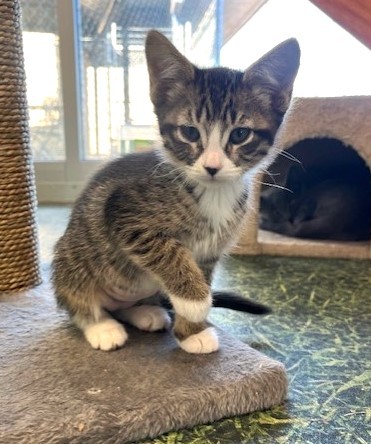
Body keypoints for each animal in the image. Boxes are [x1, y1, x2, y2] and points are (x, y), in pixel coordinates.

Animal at [52, 30, 300, 354]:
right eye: (190, 132)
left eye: (240, 135)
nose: (211, 166)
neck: (213, 193)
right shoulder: (122, 210)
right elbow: (168, 251)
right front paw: (196, 302)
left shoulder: (209, 251)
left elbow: (200, 273)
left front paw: (192, 331)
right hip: (73, 257)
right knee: (78, 302)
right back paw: (101, 326)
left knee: (125, 306)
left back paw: (145, 311)